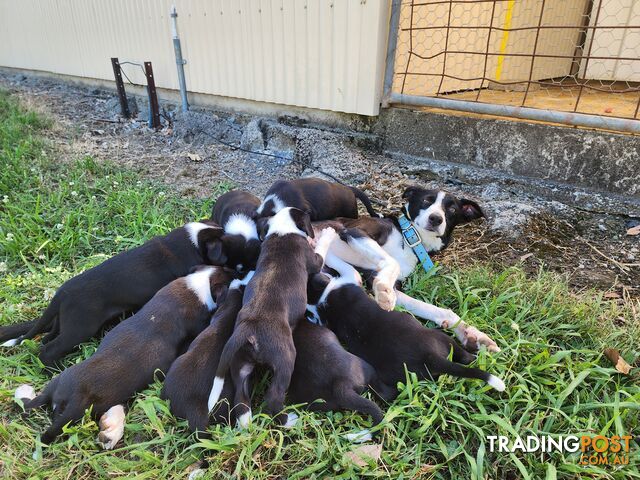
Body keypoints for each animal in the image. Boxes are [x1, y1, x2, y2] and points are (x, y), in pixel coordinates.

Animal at [0, 220, 229, 364]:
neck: (193, 240)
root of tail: (61, 294)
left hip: (64, 323)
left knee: (46, 340)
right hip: (79, 328)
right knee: (49, 350)